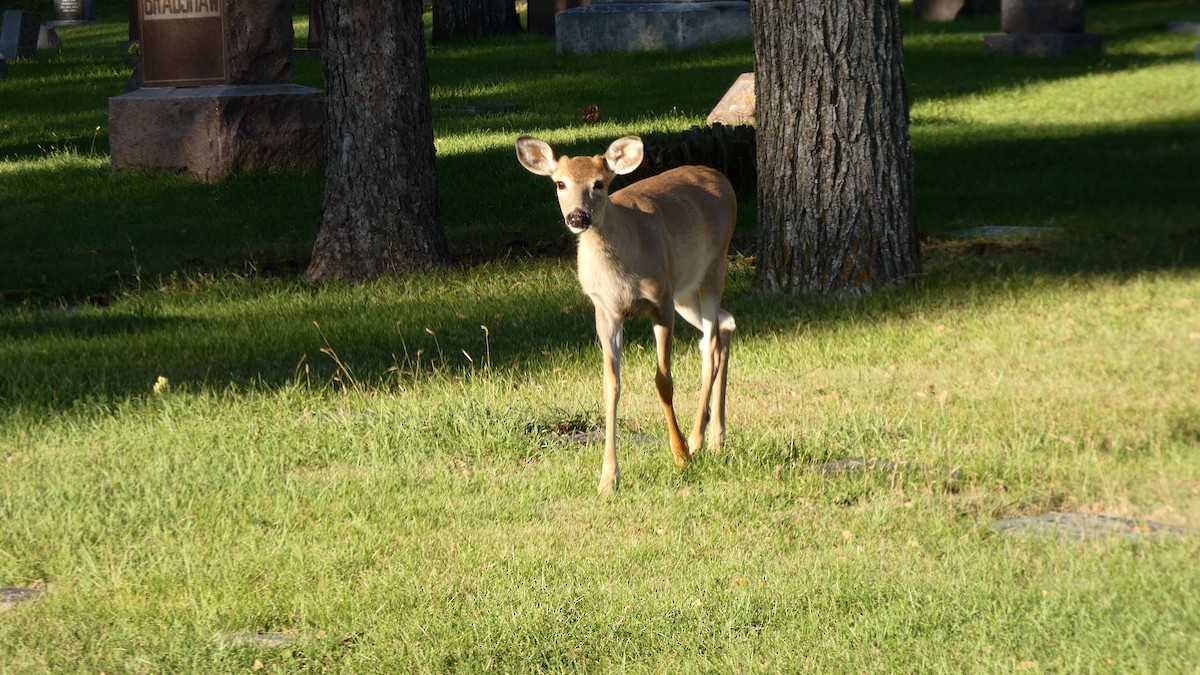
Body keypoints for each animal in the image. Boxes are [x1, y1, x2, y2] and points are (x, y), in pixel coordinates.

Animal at [515, 135, 737, 495]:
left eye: (599, 184)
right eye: (560, 183)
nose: (578, 217)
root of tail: (720, 177)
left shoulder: (661, 300)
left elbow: (664, 381)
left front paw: (680, 454)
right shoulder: (605, 311)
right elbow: (611, 385)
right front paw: (608, 478)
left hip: (713, 266)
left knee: (712, 344)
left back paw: (696, 438)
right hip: (685, 290)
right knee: (724, 326)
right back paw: (716, 436)